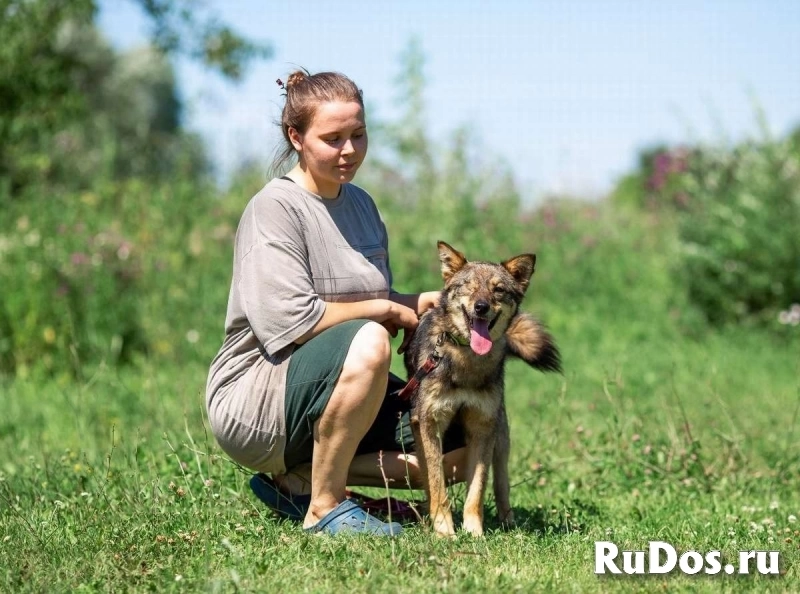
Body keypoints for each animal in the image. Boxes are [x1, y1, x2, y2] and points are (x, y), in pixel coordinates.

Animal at [400, 238, 564, 536]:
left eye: (498, 290)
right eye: (468, 286)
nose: (481, 307)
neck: (467, 361)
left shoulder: (483, 426)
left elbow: (477, 489)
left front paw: (474, 532)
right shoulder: (430, 422)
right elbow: (437, 484)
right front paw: (444, 531)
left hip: (501, 436)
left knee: (502, 484)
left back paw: (509, 522)